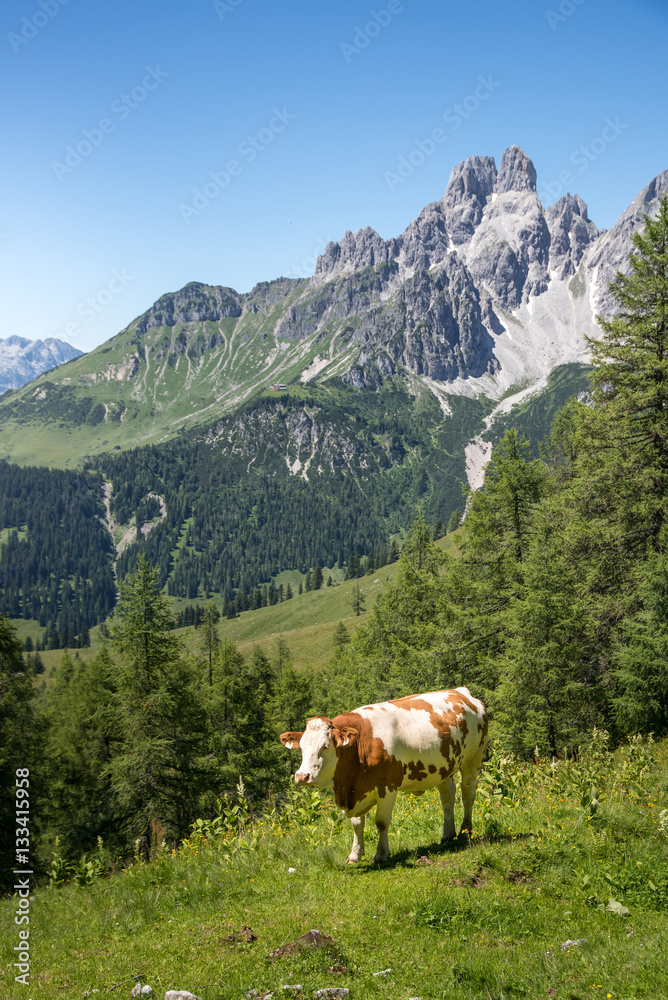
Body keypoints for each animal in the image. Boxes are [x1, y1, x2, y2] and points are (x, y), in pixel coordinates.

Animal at [280, 688, 488, 860]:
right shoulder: (357, 789)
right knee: (447, 797)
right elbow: (357, 824)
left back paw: (465, 831)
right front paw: (355, 854)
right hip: (444, 767)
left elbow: (381, 822)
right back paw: (447, 834)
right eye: (302, 747)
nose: (302, 776)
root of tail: (462, 692)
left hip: (473, 759)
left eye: (325, 746)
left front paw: (381, 855)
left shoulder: (387, 787)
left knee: (467, 795)